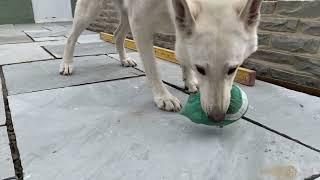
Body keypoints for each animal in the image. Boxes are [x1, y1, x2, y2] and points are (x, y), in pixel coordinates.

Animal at [60, 0, 262, 121]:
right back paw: (66, 64)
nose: (217, 117)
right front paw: (163, 97)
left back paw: (124, 59)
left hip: (125, 16)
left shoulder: (179, 23)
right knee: (71, 37)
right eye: (200, 69)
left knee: (117, 35)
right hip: (90, 10)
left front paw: (189, 82)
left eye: (233, 69)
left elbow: (184, 57)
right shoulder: (140, 25)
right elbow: (153, 69)